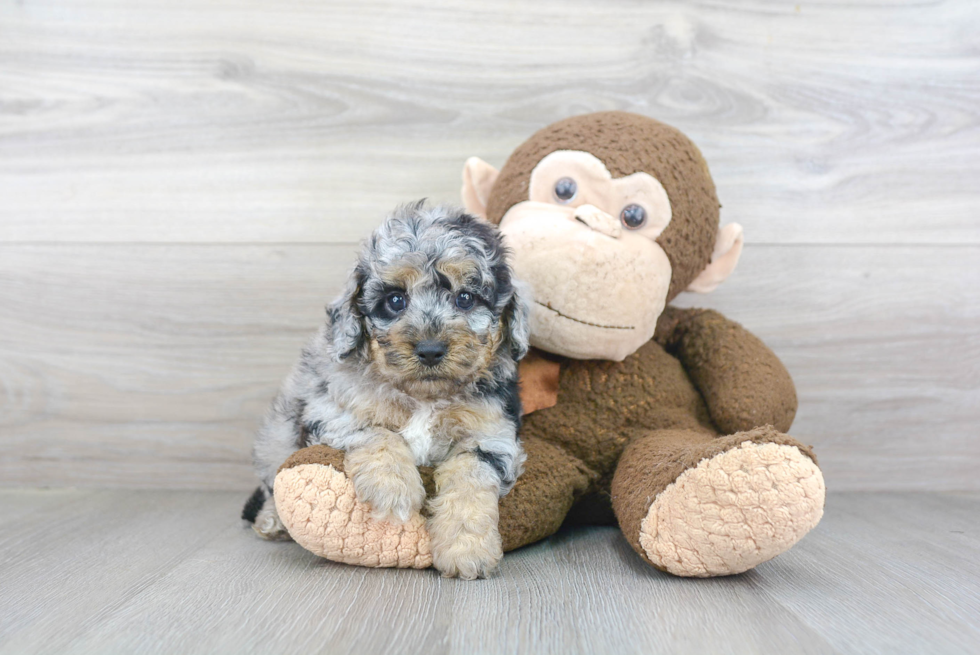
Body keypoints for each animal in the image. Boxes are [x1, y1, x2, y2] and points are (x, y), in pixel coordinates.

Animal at [245, 204, 532, 580]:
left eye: (465, 298)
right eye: (396, 300)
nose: (430, 350)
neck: (425, 396)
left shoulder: (493, 434)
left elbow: (470, 476)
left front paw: (467, 550)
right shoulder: (332, 410)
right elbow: (378, 433)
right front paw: (393, 490)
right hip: (277, 433)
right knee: (270, 481)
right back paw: (272, 520)